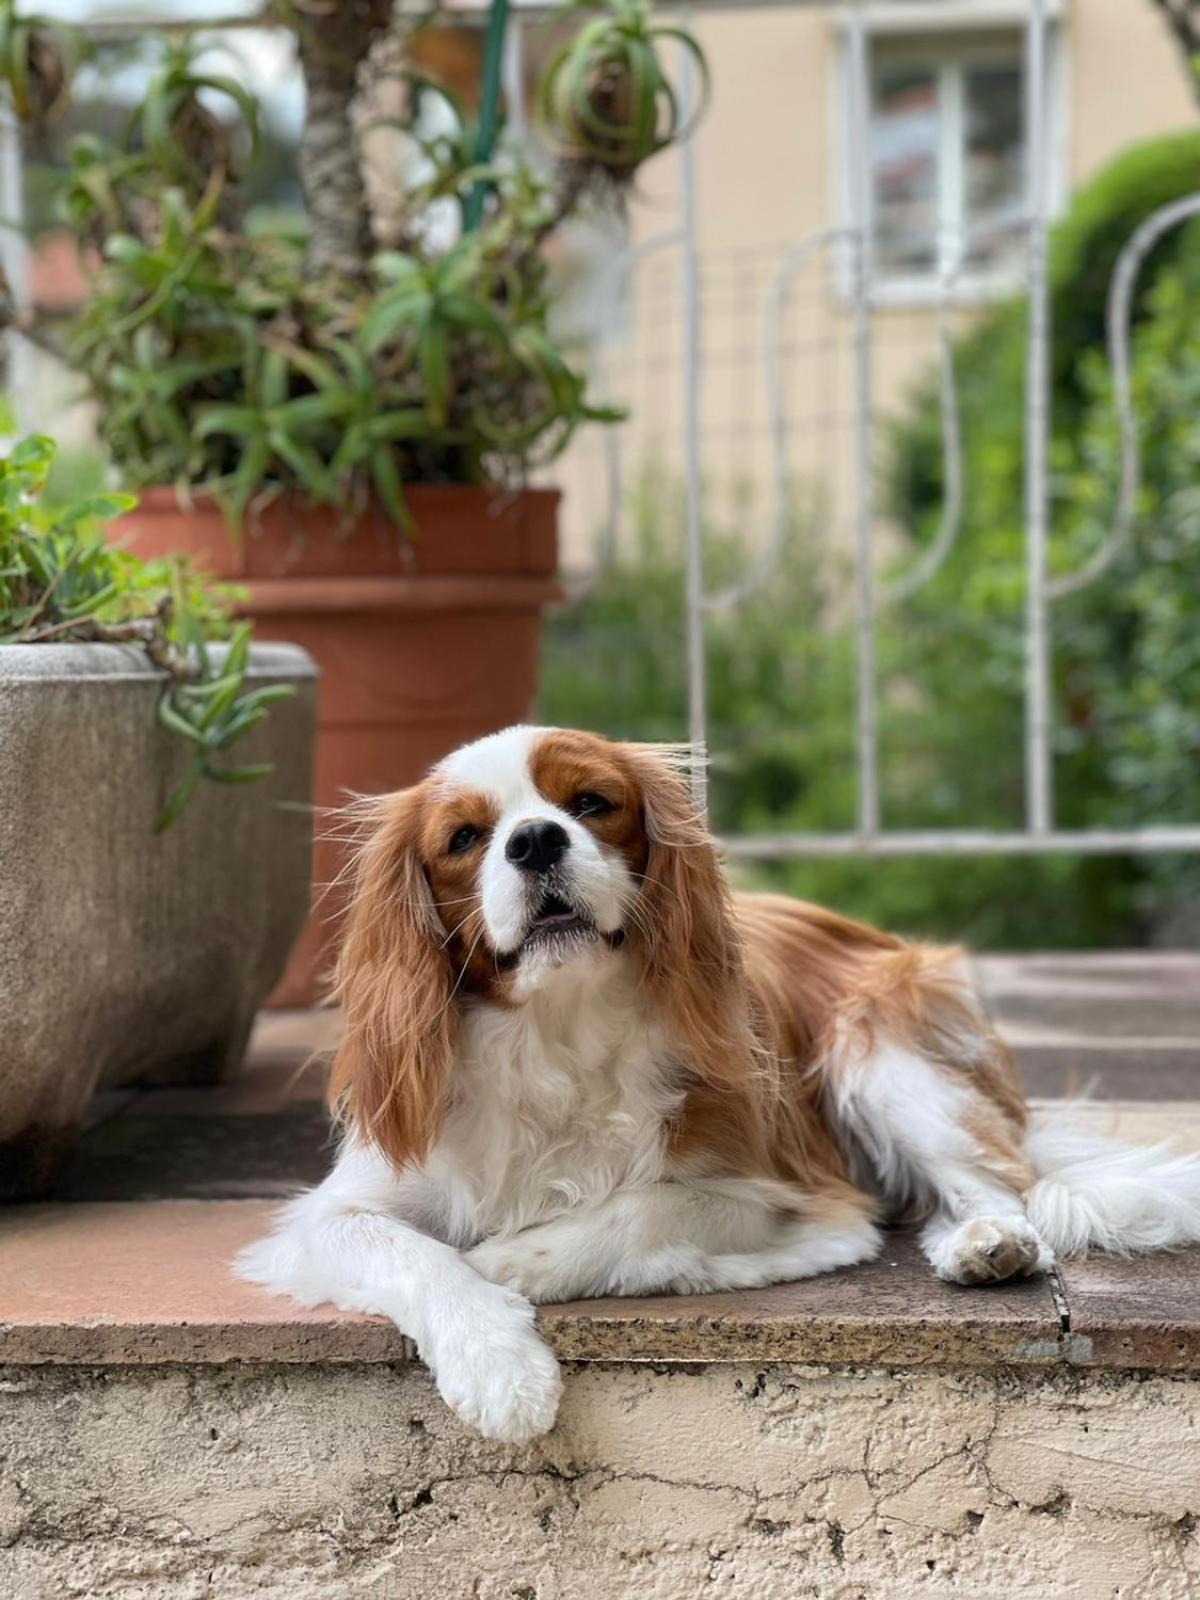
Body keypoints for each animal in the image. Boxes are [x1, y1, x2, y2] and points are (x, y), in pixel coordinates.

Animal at [240, 732, 1200, 1446]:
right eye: (464, 840)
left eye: (590, 804)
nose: (535, 839)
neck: (556, 1027)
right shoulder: (335, 1213)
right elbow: (410, 1254)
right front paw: (496, 1364)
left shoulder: (790, 1196)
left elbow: (632, 1212)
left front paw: (507, 1262)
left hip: (878, 1048)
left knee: (1000, 1185)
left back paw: (987, 1242)